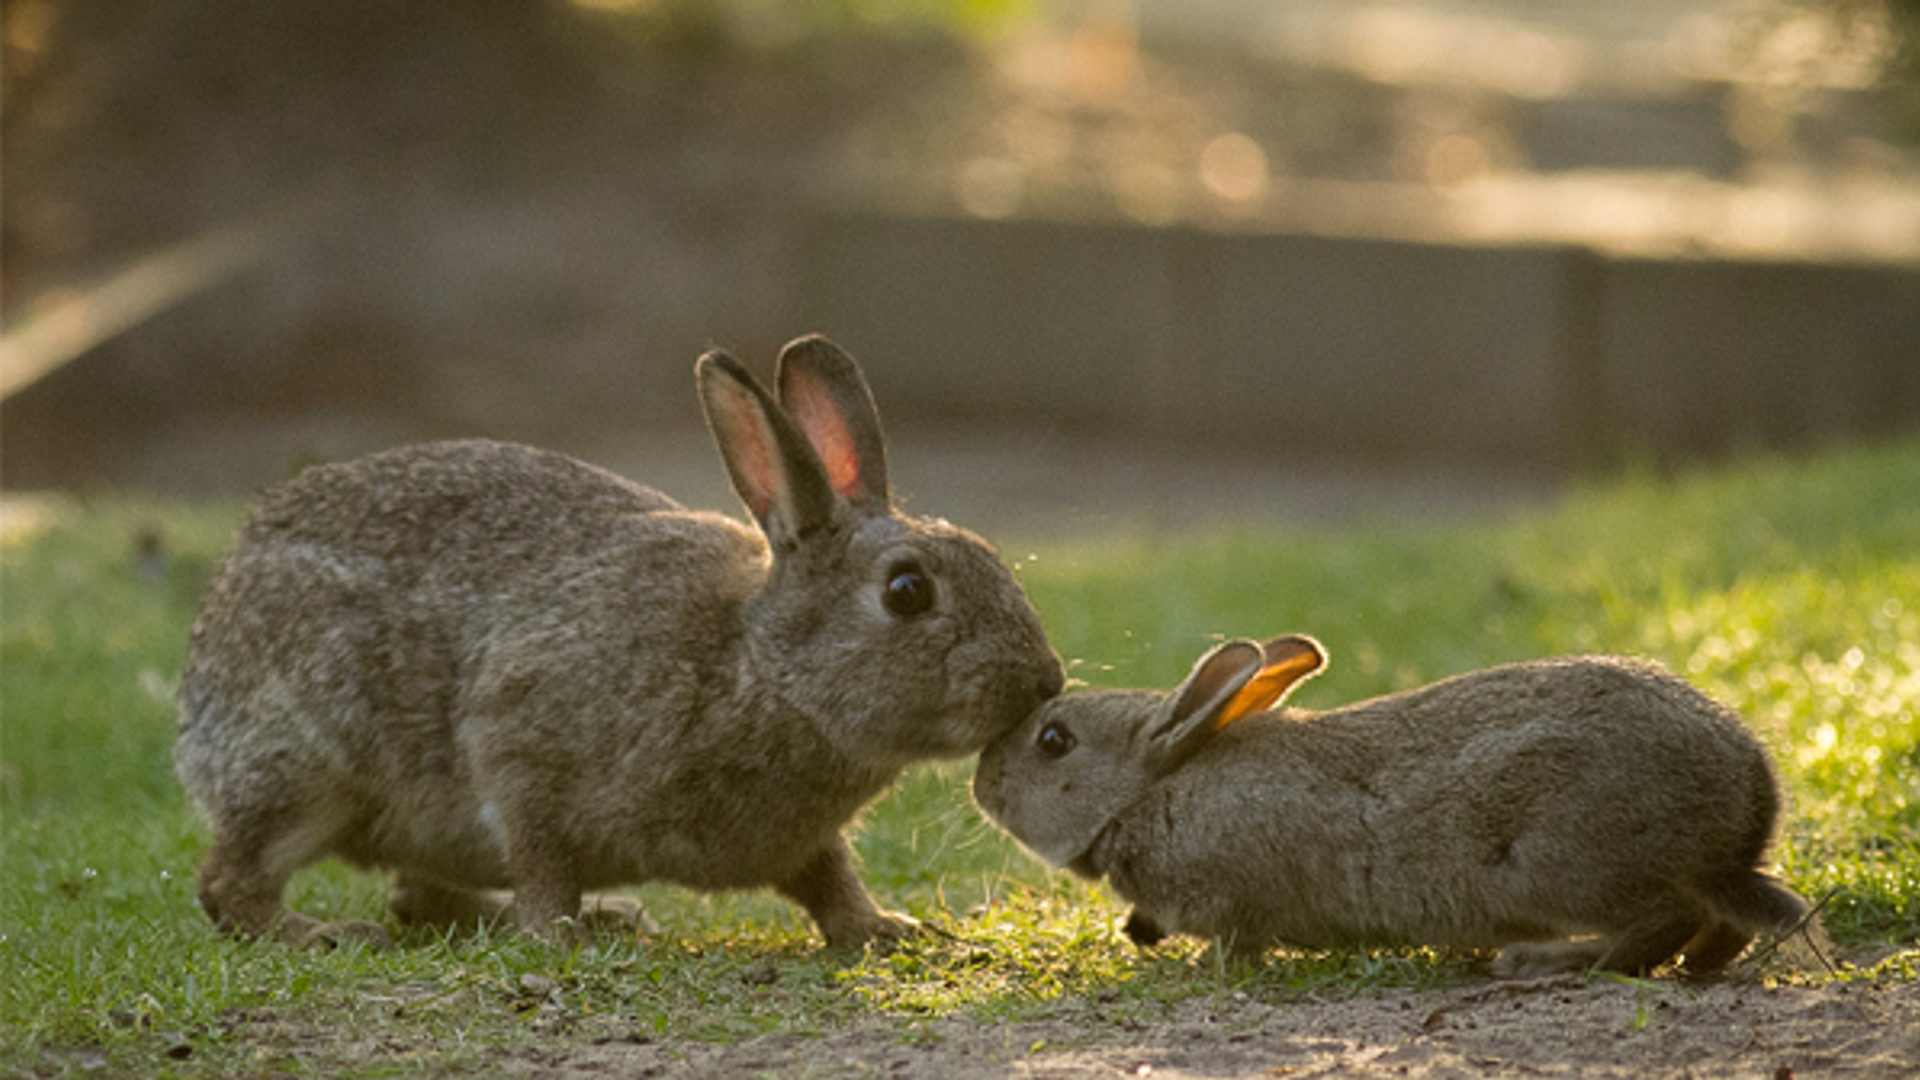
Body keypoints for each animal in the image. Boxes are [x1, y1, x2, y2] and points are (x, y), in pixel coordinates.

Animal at [178, 332, 1067, 945]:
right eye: (907, 591)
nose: (1045, 680)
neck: (760, 670)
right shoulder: (520, 738)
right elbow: (541, 853)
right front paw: (553, 934)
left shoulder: (805, 840)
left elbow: (829, 879)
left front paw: (884, 930)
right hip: (310, 764)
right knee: (232, 882)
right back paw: (326, 934)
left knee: (411, 891)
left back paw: (600, 913)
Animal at [975, 630, 1812, 976]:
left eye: (1053, 740)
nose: (982, 781)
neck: (1152, 787)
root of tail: (1745, 803)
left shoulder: (1233, 890)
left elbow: (1237, 942)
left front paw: (1192, 965)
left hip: (1565, 863)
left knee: (1659, 920)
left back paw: (1540, 961)